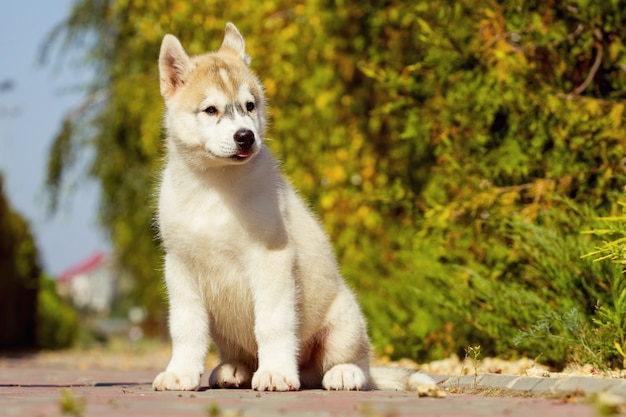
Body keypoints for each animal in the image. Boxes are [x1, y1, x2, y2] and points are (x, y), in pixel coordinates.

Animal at [152, 22, 434, 392]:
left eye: (250, 105)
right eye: (210, 110)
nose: (246, 136)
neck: (214, 187)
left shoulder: (271, 258)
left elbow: (272, 323)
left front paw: (275, 372)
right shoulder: (180, 266)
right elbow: (186, 328)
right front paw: (181, 373)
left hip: (345, 320)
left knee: (358, 365)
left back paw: (343, 374)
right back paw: (234, 369)